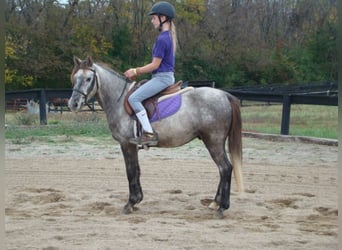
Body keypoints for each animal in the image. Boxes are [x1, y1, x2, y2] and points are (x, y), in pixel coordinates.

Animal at [67, 55, 243, 218]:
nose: (73, 104)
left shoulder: (126, 144)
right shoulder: (132, 145)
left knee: (225, 168)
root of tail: (225, 95)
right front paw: (137, 199)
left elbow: (130, 171)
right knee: (223, 169)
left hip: (213, 141)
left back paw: (222, 207)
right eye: (75, 78)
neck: (119, 100)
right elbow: (137, 170)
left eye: (88, 79)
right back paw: (215, 203)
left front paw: (130, 203)